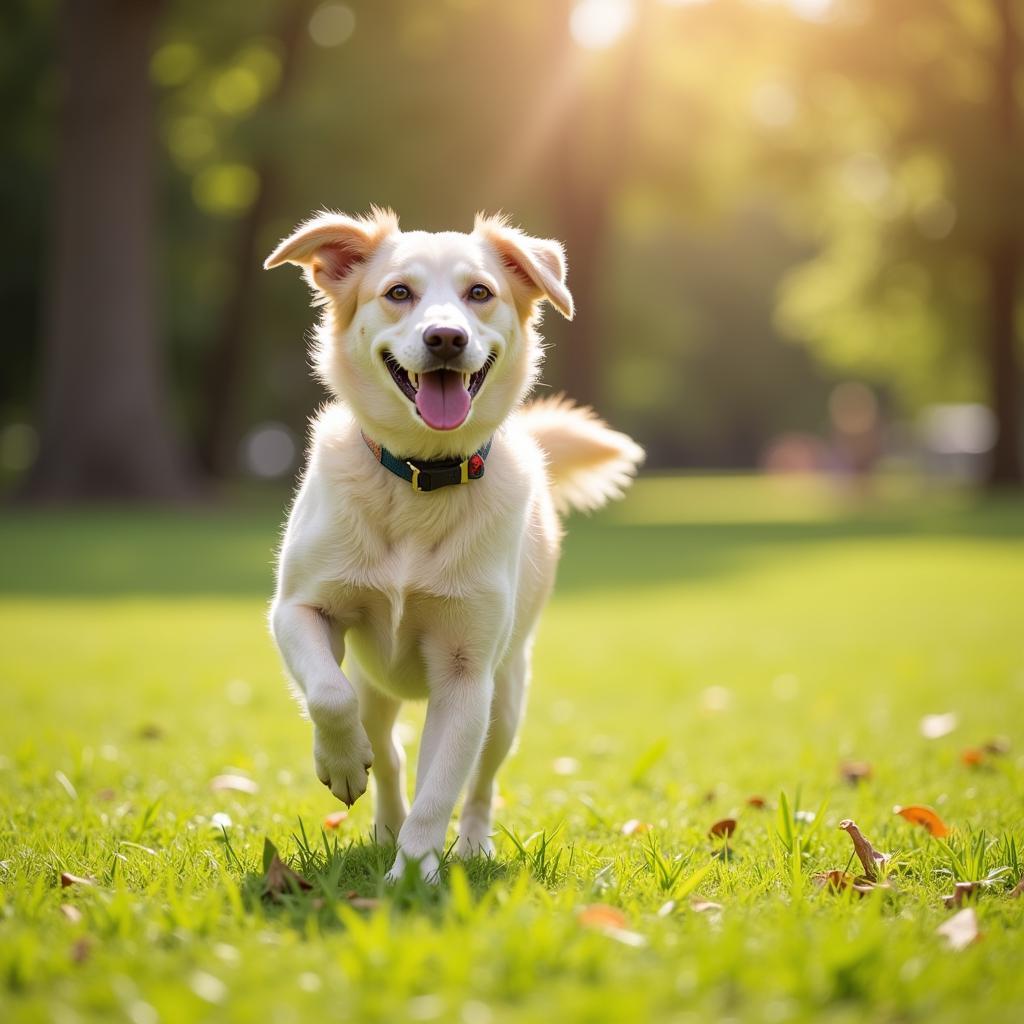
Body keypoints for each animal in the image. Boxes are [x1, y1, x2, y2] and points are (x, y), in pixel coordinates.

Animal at [268, 207, 643, 880]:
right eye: (398, 293)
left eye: (480, 292)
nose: (446, 338)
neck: (423, 475)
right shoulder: (297, 610)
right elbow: (328, 695)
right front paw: (340, 764)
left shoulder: (468, 675)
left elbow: (439, 789)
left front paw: (412, 878)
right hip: (377, 684)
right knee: (387, 750)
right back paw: (380, 818)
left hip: (505, 701)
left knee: (476, 785)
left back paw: (469, 846)